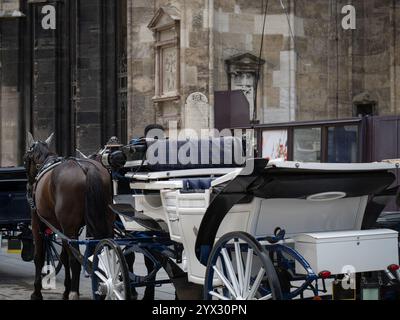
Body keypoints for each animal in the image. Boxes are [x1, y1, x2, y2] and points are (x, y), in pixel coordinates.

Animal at [23, 133, 114, 300]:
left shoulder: (37, 222)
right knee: (106, 251)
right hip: (106, 220)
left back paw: (74, 293)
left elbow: (39, 256)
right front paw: (66, 289)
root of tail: (88, 169)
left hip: (68, 227)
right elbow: (64, 256)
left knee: (75, 260)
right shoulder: (60, 228)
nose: (28, 186)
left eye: (26, 158)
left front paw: (36, 292)